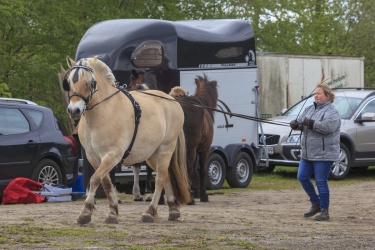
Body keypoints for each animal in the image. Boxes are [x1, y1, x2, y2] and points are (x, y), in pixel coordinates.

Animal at [63, 55, 191, 224]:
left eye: (90, 82)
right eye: (69, 82)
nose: (74, 110)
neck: (102, 113)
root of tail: (172, 100)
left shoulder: (112, 155)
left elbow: (95, 179)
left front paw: (85, 213)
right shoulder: (94, 157)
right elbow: (106, 182)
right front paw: (112, 212)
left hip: (165, 150)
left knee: (160, 178)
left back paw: (149, 212)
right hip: (152, 155)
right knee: (166, 176)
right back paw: (173, 210)